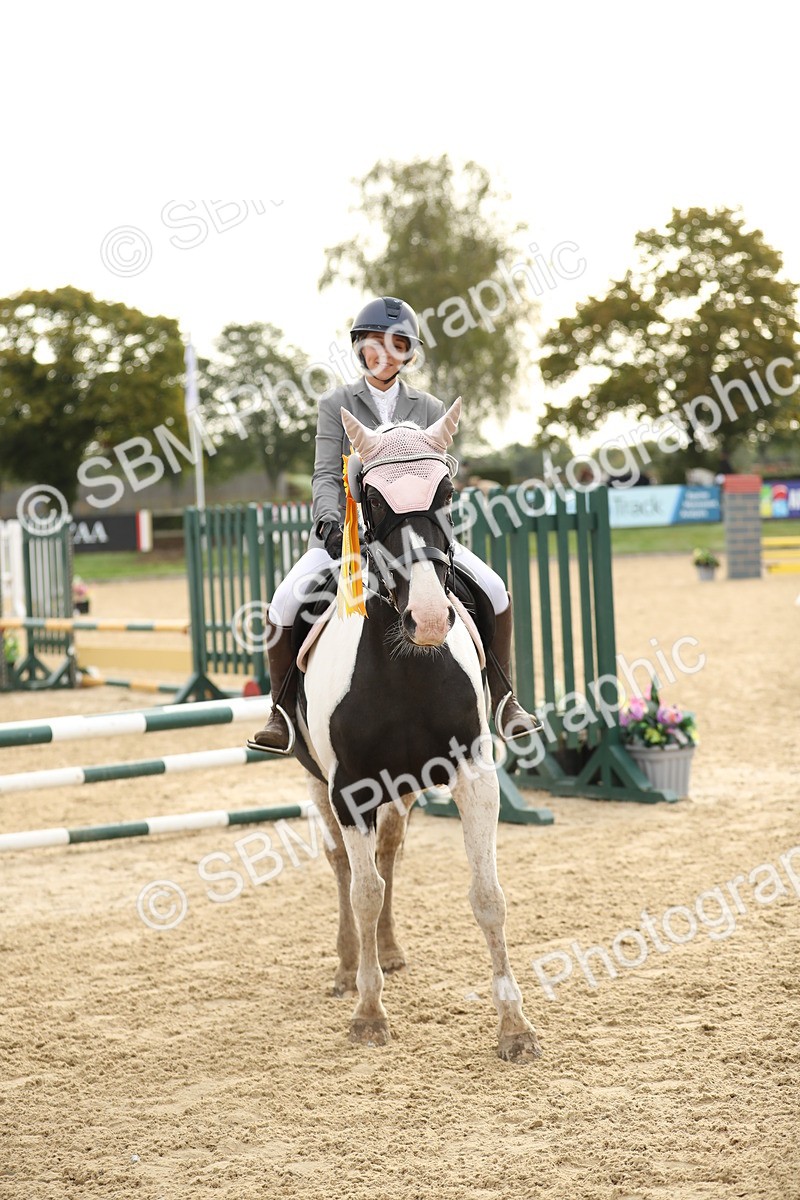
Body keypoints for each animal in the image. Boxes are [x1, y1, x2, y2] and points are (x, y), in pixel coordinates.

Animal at [291, 397, 541, 1063]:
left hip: (400, 788)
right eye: (371, 502)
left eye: (447, 493)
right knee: (344, 865)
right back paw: (349, 966)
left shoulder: (474, 775)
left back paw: (390, 950)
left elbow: (487, 895)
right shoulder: (349, 790)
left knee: (388, 852)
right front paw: (368, 1014)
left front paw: (515, 1027)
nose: (428, 618)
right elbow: (362, 891)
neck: (404, 667)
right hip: (315, 782)